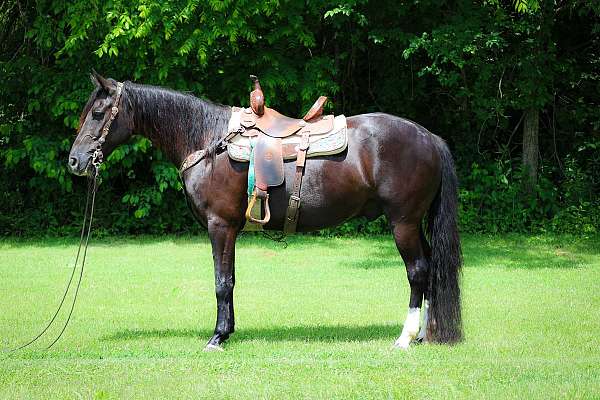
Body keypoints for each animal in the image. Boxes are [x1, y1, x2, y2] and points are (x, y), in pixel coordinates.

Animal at [70, 72, 464, 350]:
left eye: (99, 113)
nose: (75, 161)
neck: (207, 141)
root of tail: (429, 138)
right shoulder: (229, 230)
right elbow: (230, 280)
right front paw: (228, 331)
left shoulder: (220, 226)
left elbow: (221, 282)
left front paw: (217, 337)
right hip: (414, 224)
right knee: (431, 268)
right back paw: (426, 334)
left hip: (403, 223)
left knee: (417, 271)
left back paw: (406, 337)